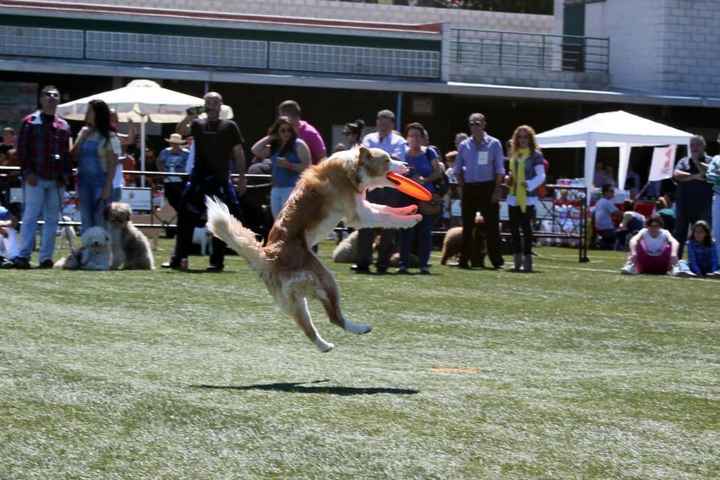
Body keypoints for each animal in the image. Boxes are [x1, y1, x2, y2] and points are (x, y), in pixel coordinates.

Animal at [205, 146, 422, 352]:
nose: (407, 165)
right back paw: (361, 328)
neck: (352, 168)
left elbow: (385, 208)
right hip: (325, 279)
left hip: (296, 300)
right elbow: (386, 217)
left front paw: (408, 210)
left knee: (309, 327)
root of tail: (268, 257)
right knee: (334, 318)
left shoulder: (363, 206)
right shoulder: (360, 215)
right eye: (387, 160)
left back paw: (325, 346)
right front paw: (412, 219)